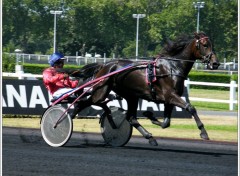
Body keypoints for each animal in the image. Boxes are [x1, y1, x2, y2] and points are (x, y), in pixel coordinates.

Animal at [69, 31, 219, 146]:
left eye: (212, 45)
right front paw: (204, 133)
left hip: (131, 96)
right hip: (101, 90)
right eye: (205, 45)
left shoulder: (168, 100)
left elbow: (166, 123)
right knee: (83, 103)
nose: (215, 63)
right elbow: (190, 108)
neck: (172, 67)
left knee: (131, 118)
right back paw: (67, 120)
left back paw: (150, 137)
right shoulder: (170, 95)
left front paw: (150, 115)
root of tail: (104, 65)